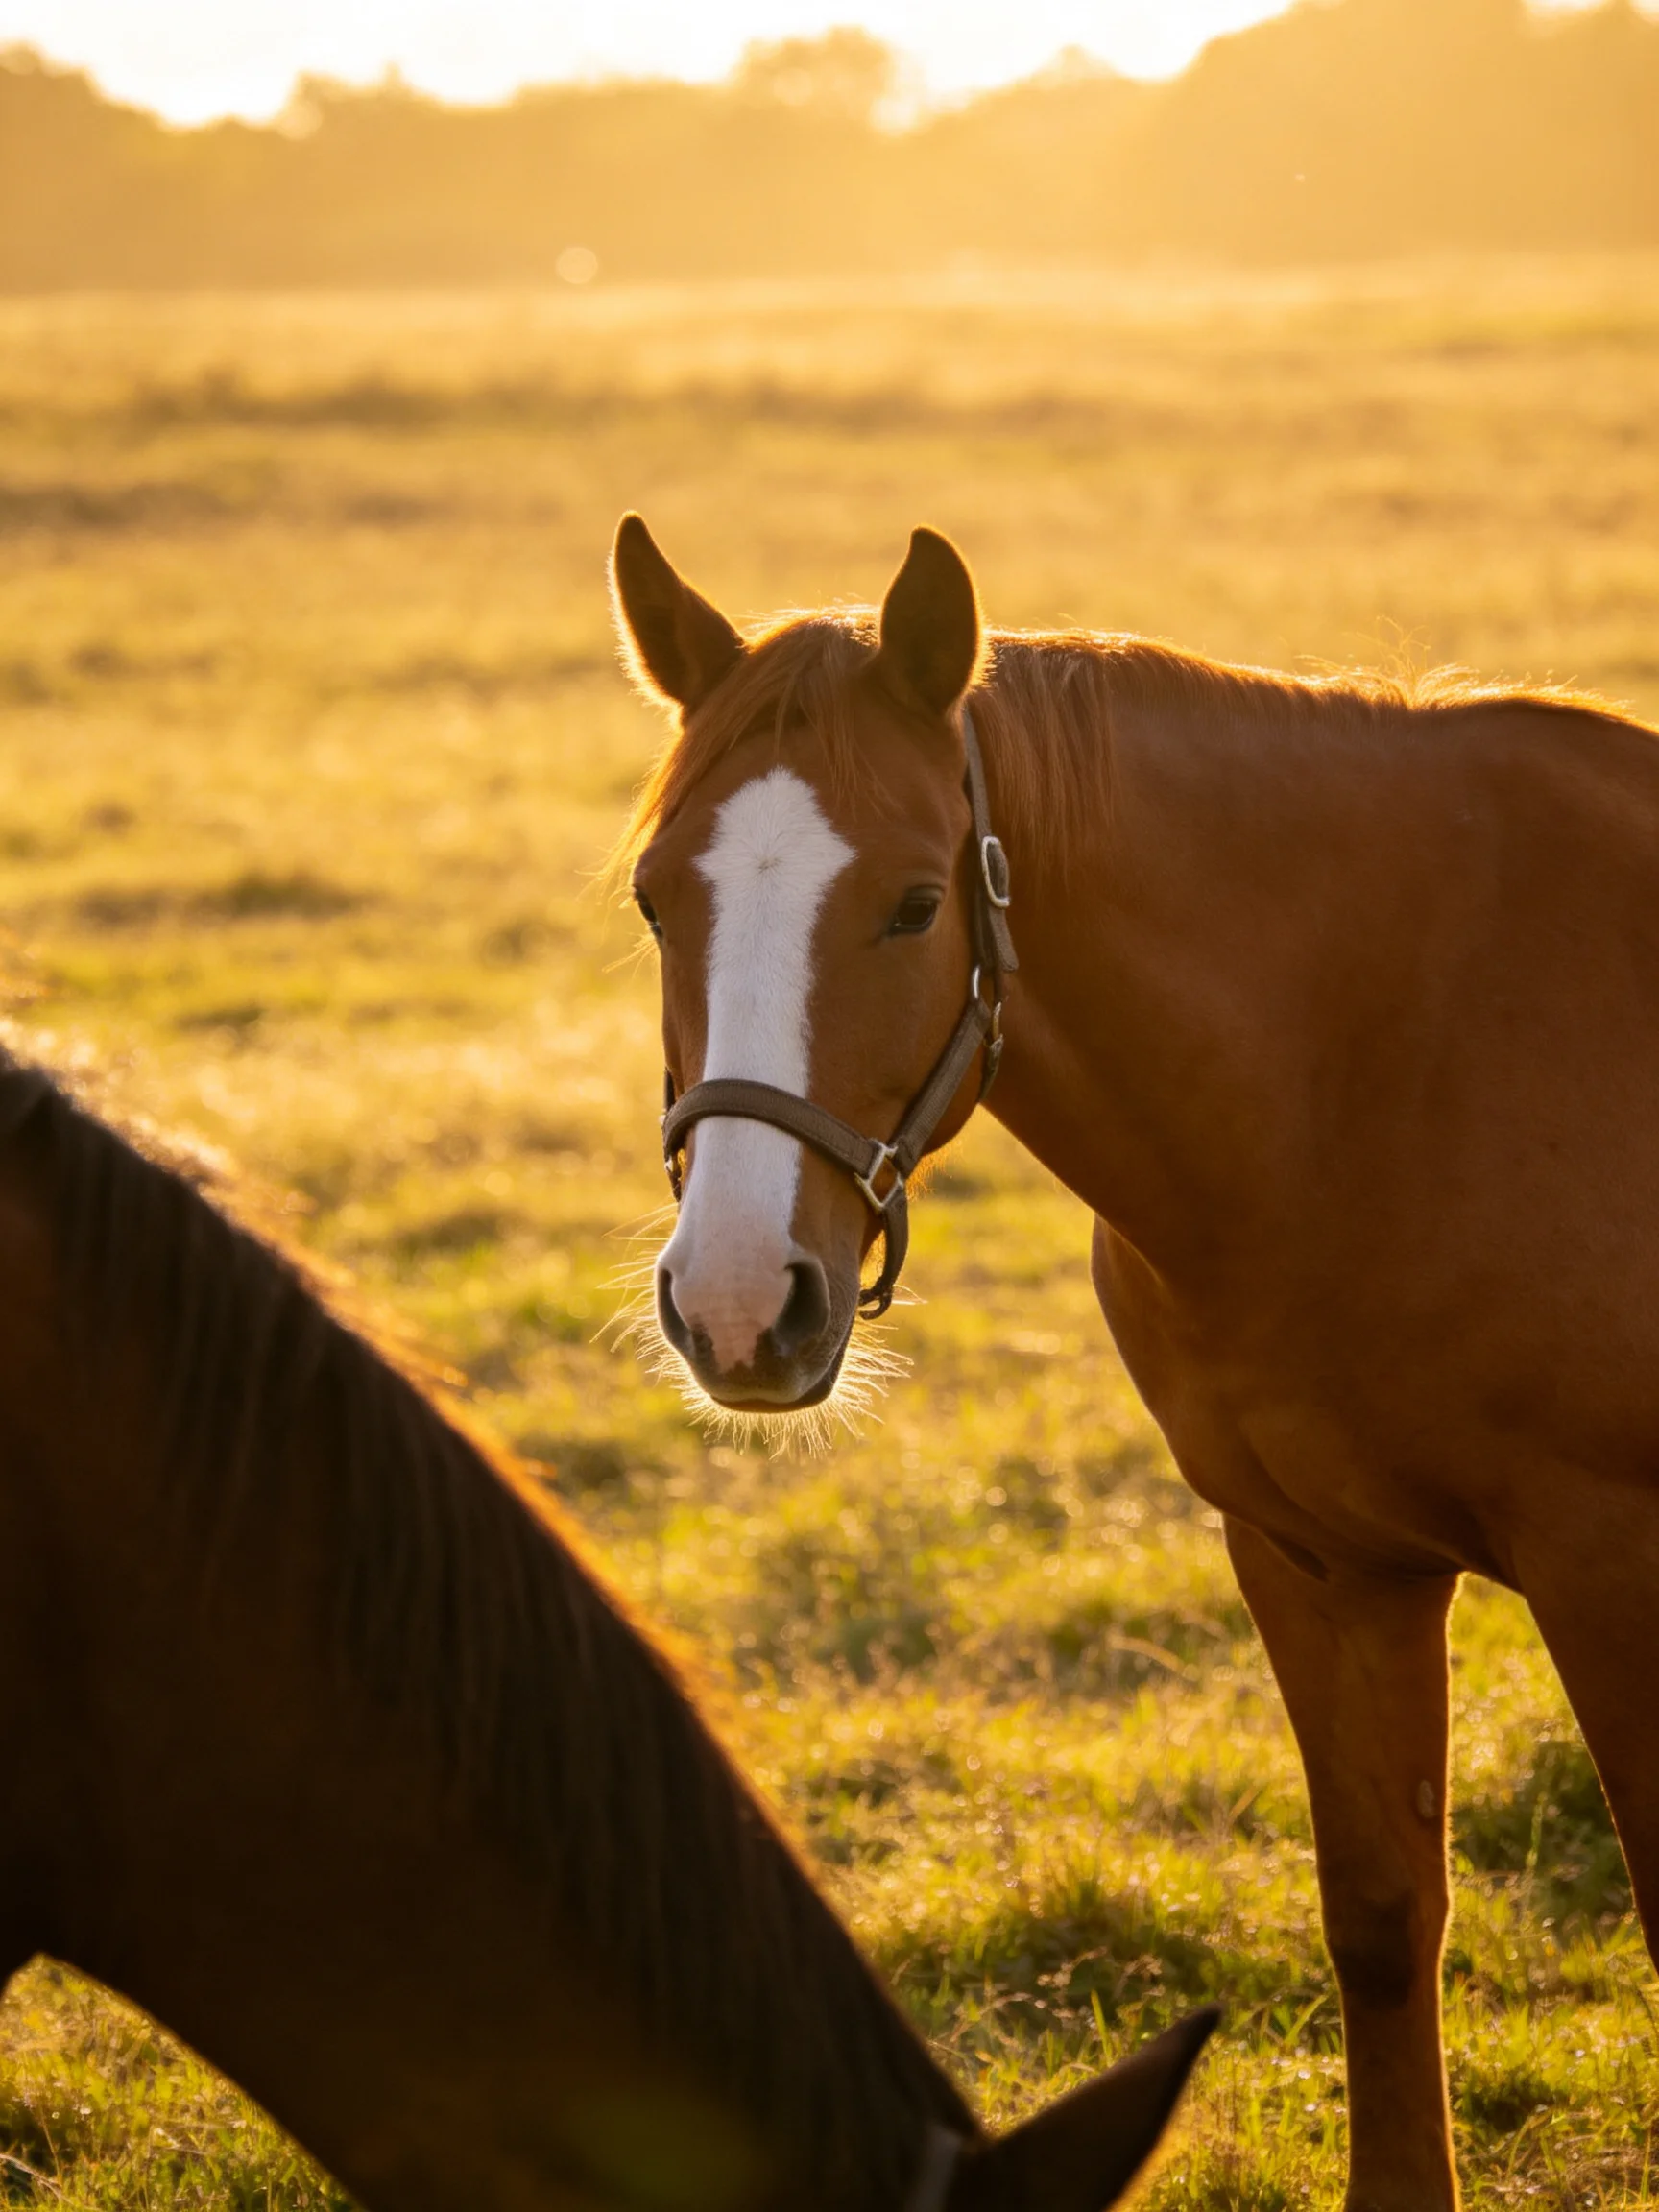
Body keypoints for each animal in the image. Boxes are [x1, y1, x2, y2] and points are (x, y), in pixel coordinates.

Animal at [612, 509, 1659, 2212]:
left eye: (916, 904)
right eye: (655, 902)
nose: (738, 1305)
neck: (1377, 1065)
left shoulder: (1610, 1569)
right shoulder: (1320, 1562)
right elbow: (1383, 1920)